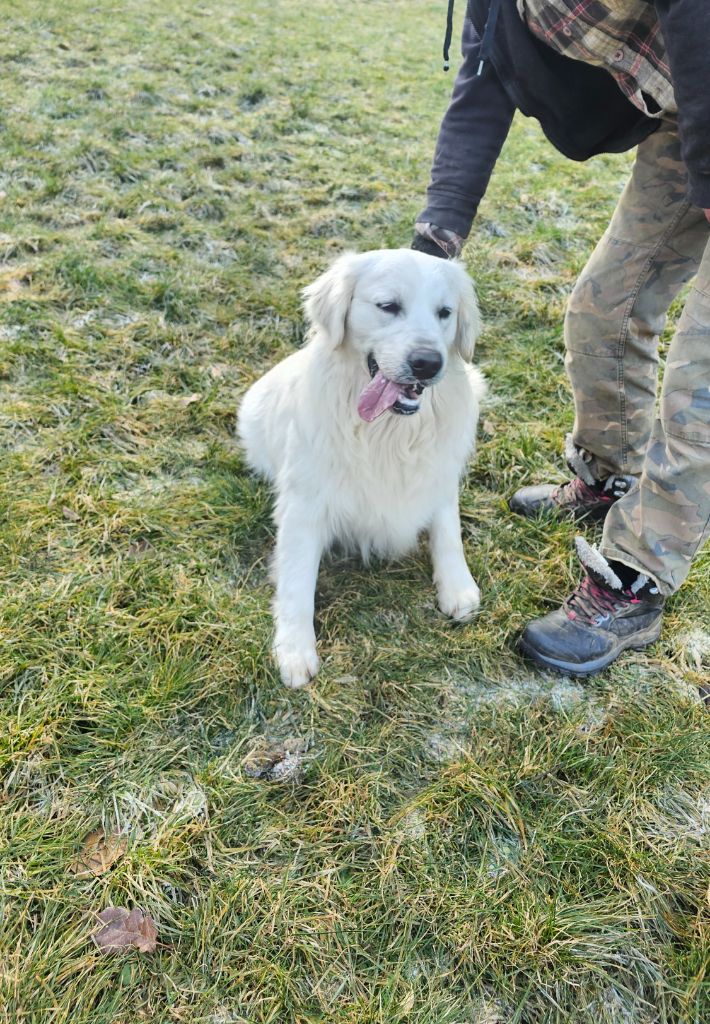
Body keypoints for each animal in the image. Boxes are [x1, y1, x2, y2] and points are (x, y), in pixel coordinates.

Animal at [237, 247, 481, 688]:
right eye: (388, 306)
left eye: (445, 312)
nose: (427, 363)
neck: (388, 433)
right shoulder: (304, 504)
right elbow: (297, 581)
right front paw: (295, 650)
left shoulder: (439, 475)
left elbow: (447, 531)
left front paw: (457, 587)